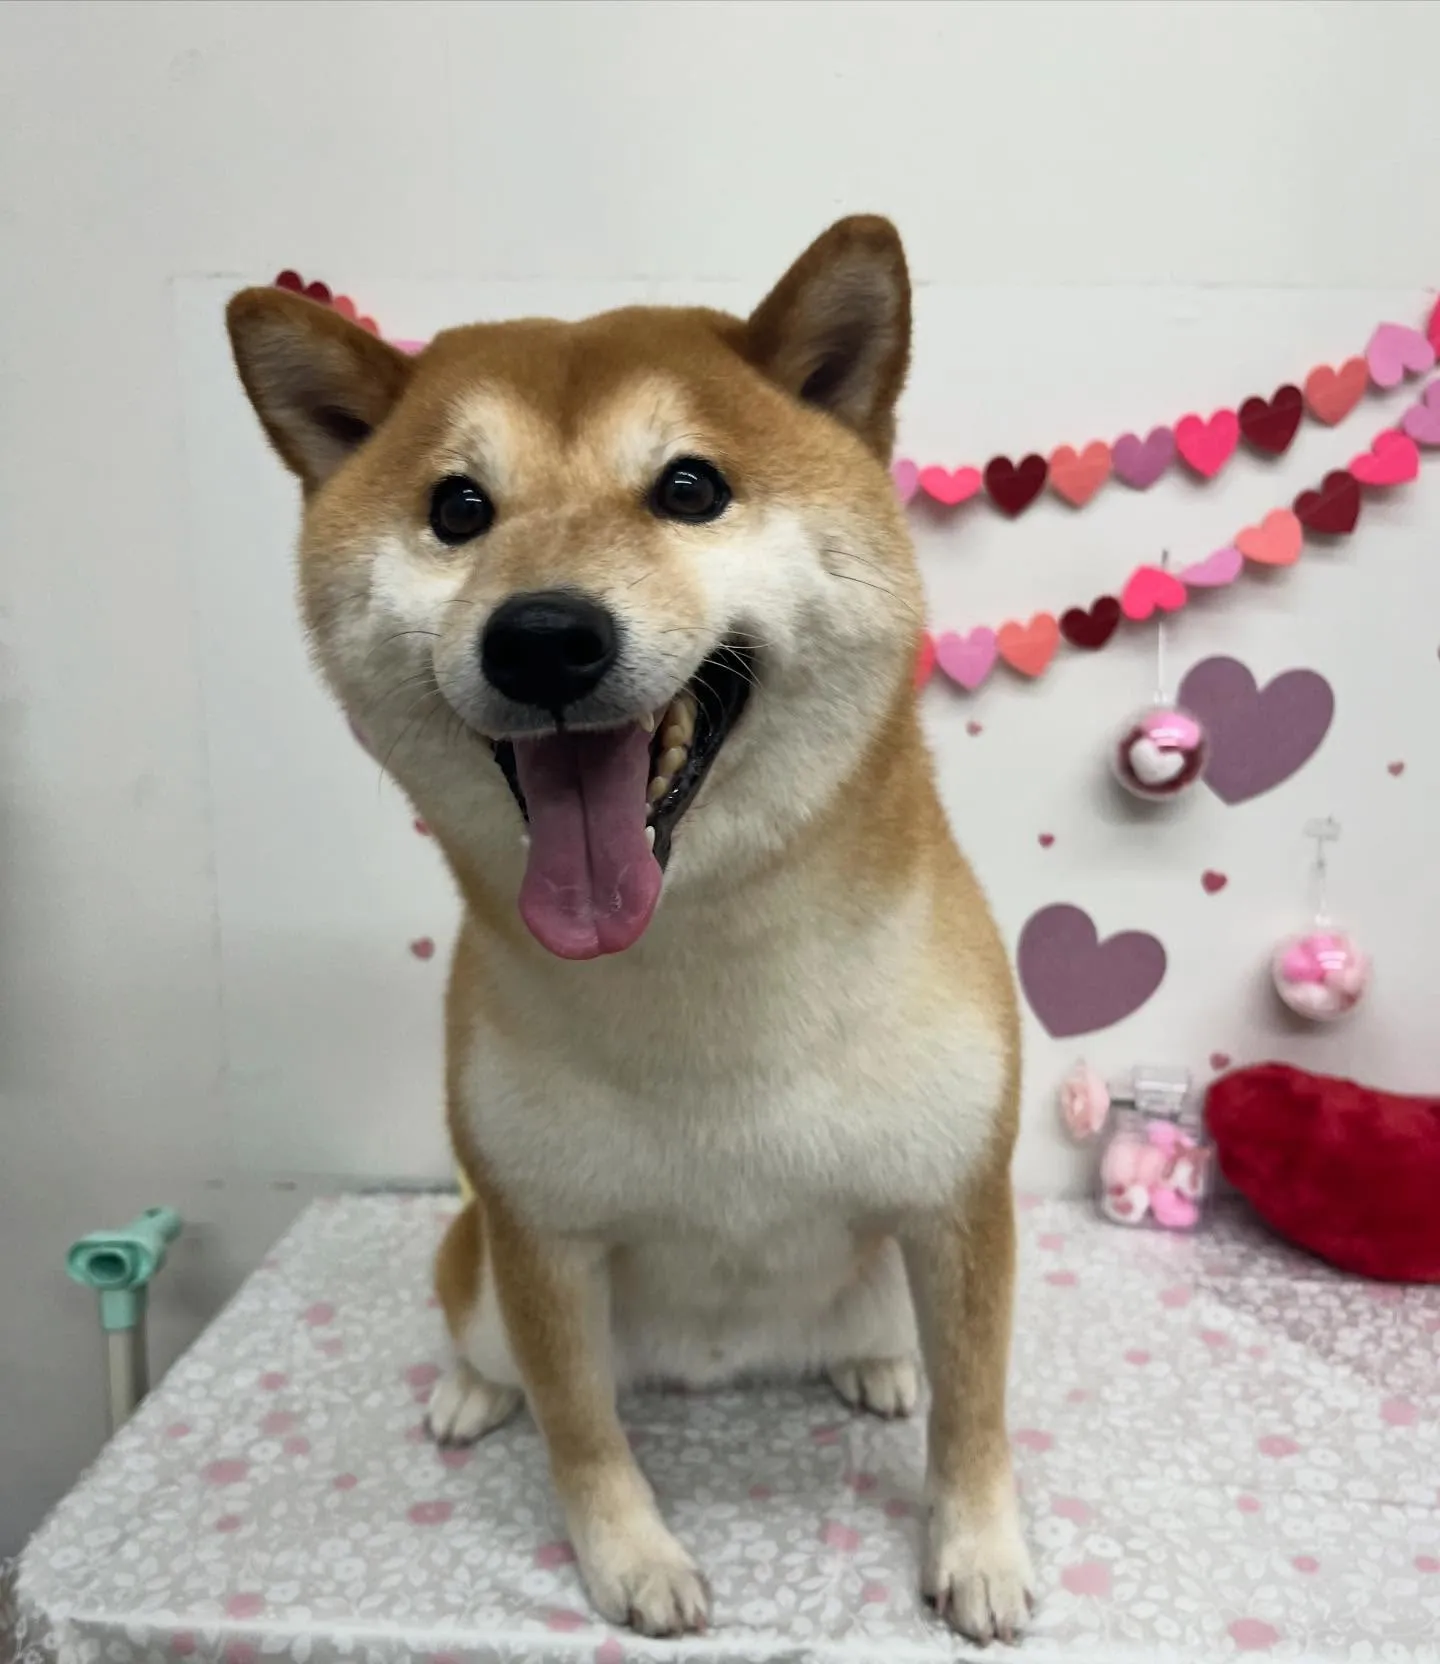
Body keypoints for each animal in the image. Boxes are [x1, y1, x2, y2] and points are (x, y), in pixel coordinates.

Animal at [227, 215, 1032, 1644]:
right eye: (457, 509)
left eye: (691, 487)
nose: (544, 636)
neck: (699, 957)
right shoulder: (540, 1234)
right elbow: (582, 1426)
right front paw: (630, 1557)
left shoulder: (958, 1200)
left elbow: (977, 1401)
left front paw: (979, 1547)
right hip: (478, 1264)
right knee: (497, 1349)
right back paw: (471, 1391)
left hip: (887, 1261)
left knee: (898, 1341)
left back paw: (880, 1364)